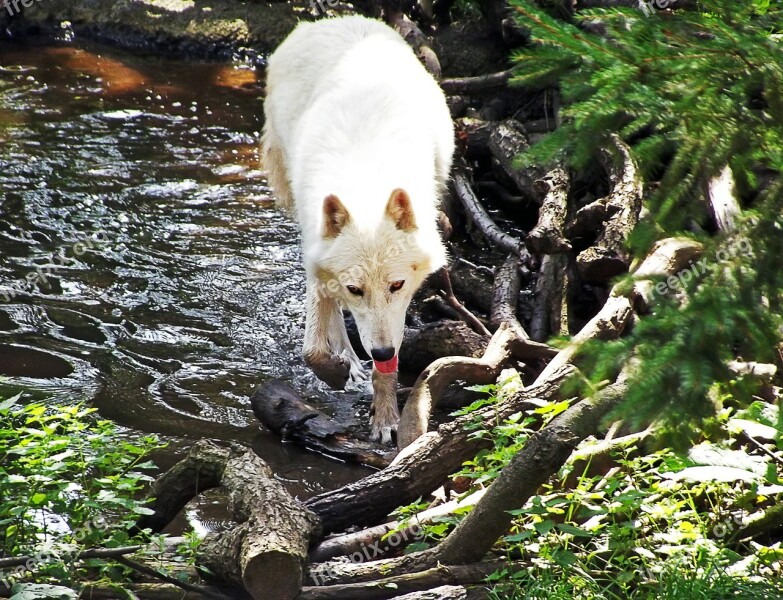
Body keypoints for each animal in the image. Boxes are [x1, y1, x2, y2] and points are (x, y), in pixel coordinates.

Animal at [264, 16, 456, 442]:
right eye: (356, 289)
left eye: (397, 285)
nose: (380, 353)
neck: (365, 183)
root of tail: (331, 20)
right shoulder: (317, 262)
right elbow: (313, 349)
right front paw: (338, 372)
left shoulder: (394, 316)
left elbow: (391, 360)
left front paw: (386, 418)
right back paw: (348, 363)